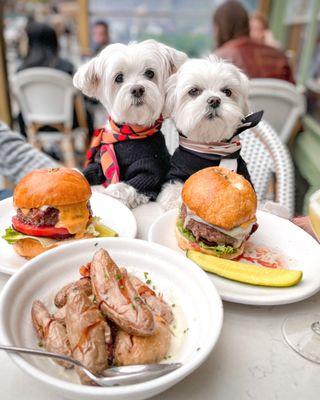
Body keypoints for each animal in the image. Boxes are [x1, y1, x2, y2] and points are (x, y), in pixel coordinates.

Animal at [72, 40, 188, 208]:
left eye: (150, 73)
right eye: (119, 77)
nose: (137, 89)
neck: (128, 134)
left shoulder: (149, 167)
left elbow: (128, 186)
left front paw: (112, 192)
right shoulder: (98, 162)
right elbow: (87, 172)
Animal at [159, 57, 264, 212]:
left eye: (227, 91)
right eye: (194, 91)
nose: (214, 100)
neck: (209, 148)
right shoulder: (176, 172)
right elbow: (174, 191)